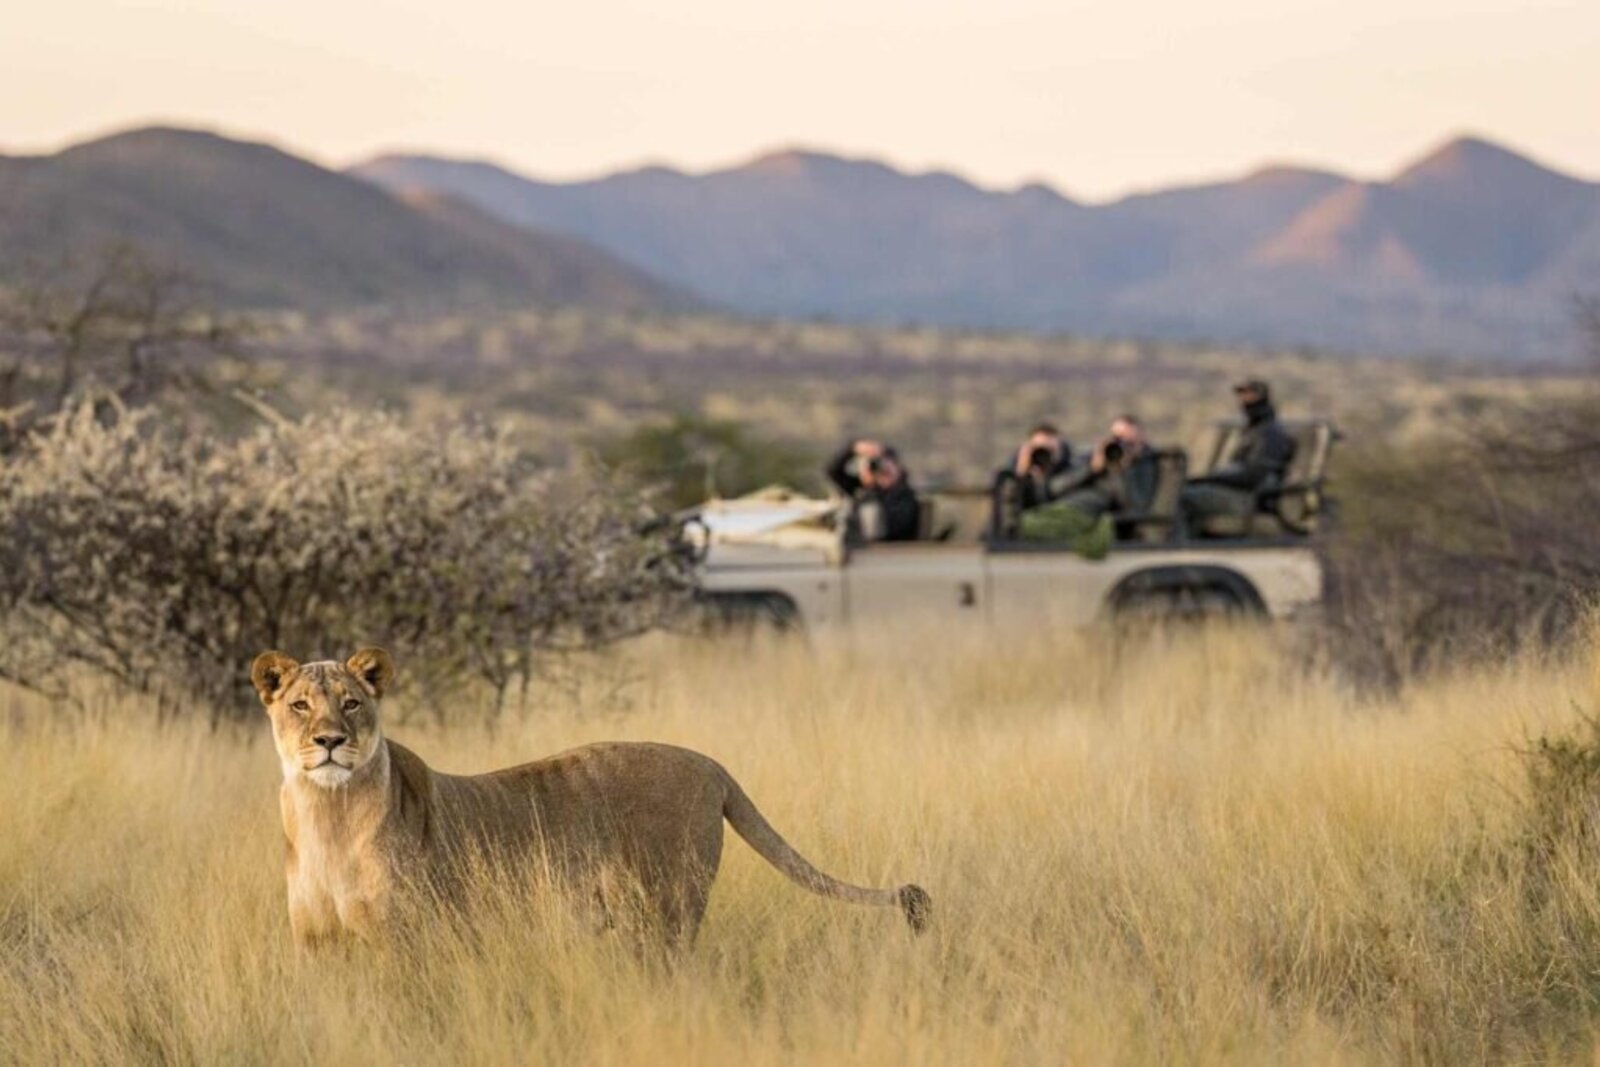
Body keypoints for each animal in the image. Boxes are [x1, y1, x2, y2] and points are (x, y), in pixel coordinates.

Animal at [251, 647, 930, 947]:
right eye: (300, 705)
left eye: (352, 703)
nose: (331, 741)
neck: (328, 815)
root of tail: (711, 764)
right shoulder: (317, 941)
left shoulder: (407, 937)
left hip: (670, 906)